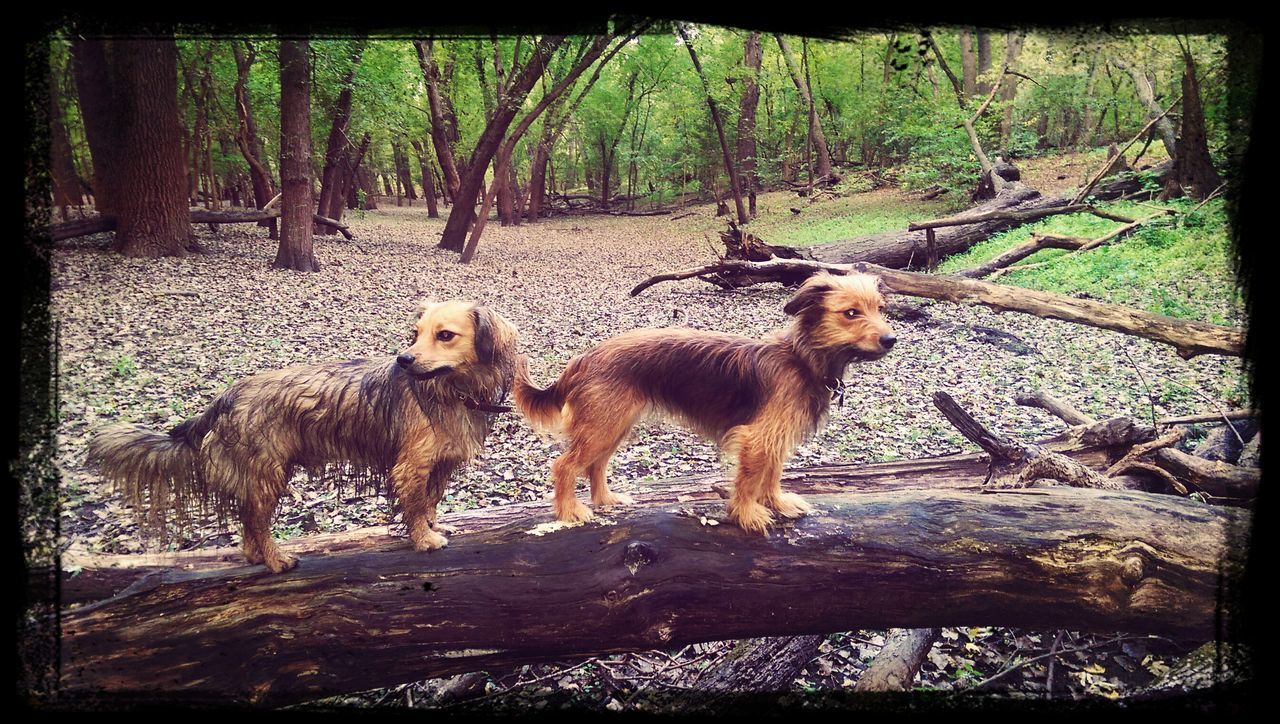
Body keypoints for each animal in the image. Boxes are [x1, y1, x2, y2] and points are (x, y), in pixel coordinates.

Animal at [86, 300, 519, 573]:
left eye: (444, 335)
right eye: (415, 334)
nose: (404, 359)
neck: (450, 390)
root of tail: (227, 395)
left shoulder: (438, 466)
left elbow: (430, 501)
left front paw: (435, 525)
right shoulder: (410, 466)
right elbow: (413, 506)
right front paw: (424, 539)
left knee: (247, 523)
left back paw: (257, 557)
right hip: (268, 474)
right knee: (256, 521)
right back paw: (276, 560)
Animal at [514, 272, 896, 534]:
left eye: (880, 309)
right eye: (850, 313)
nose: (891, 339)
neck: (802, 358)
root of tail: (582, 358)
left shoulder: (775, 434)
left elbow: (772, 472)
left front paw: (777, 502)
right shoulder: (756, 437)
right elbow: (749, 480)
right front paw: (747, 514)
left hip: (612, 425)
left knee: (596, 465)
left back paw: (605, 500)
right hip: (602, 425)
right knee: (564, 466)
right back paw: (568, 512)